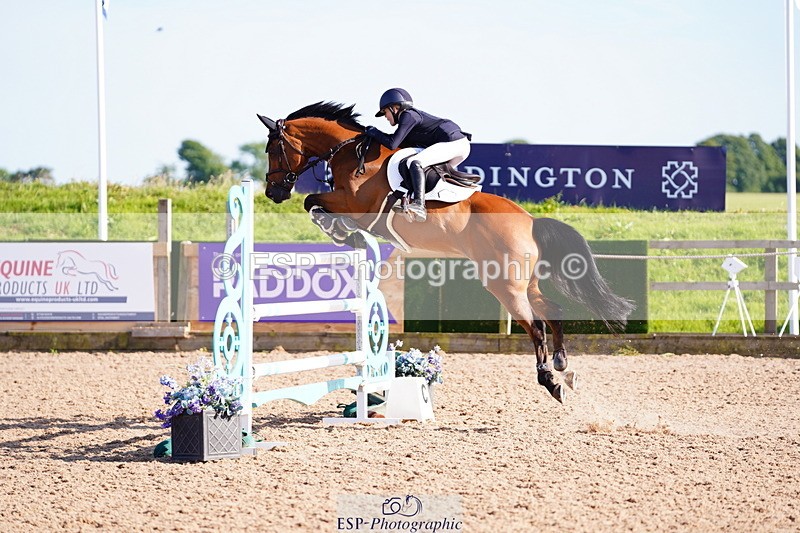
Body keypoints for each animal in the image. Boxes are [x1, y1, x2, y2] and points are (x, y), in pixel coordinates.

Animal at [257, 101, 634, 403]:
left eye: (274, 149)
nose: (273, 192)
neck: (351, 154)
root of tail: (529, 221)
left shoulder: (357, 205)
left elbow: (312, 201)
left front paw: (337, 230)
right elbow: (315, 203)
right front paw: (341, 232)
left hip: (505, 285)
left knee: (536, 326)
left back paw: (550, 381)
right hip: (524, 283)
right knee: (553, 311)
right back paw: (563, 366)